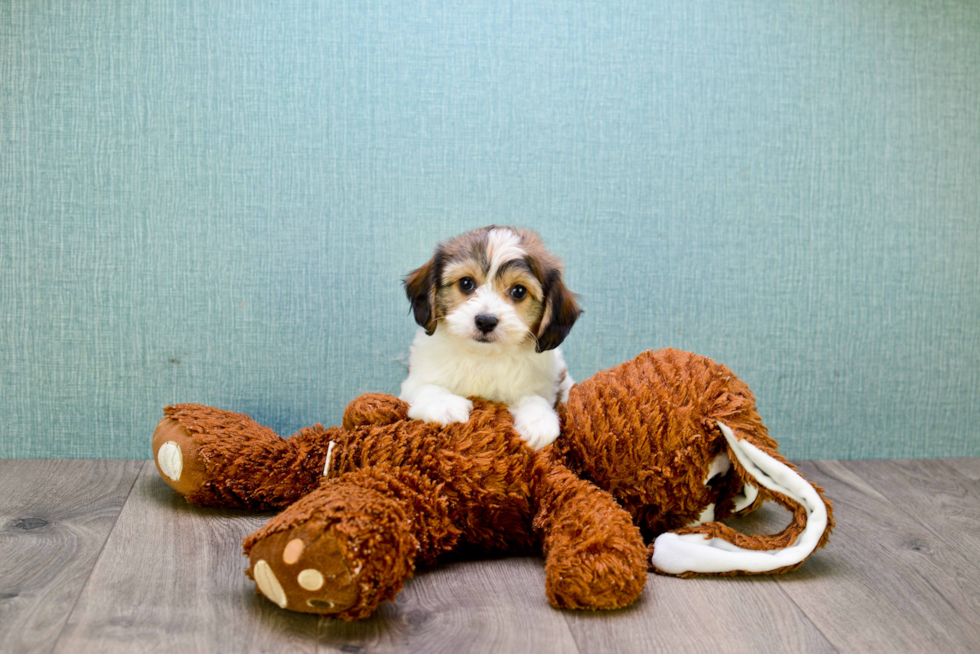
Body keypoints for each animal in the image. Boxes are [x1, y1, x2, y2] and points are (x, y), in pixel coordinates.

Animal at [400, 227, 580, 452]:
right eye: (466, 283)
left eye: (519, 291)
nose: (485, 321)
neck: (484, 356)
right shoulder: (413, 382)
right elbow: (427, 387)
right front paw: (444, 405)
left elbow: (534, 397)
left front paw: (538, 420)